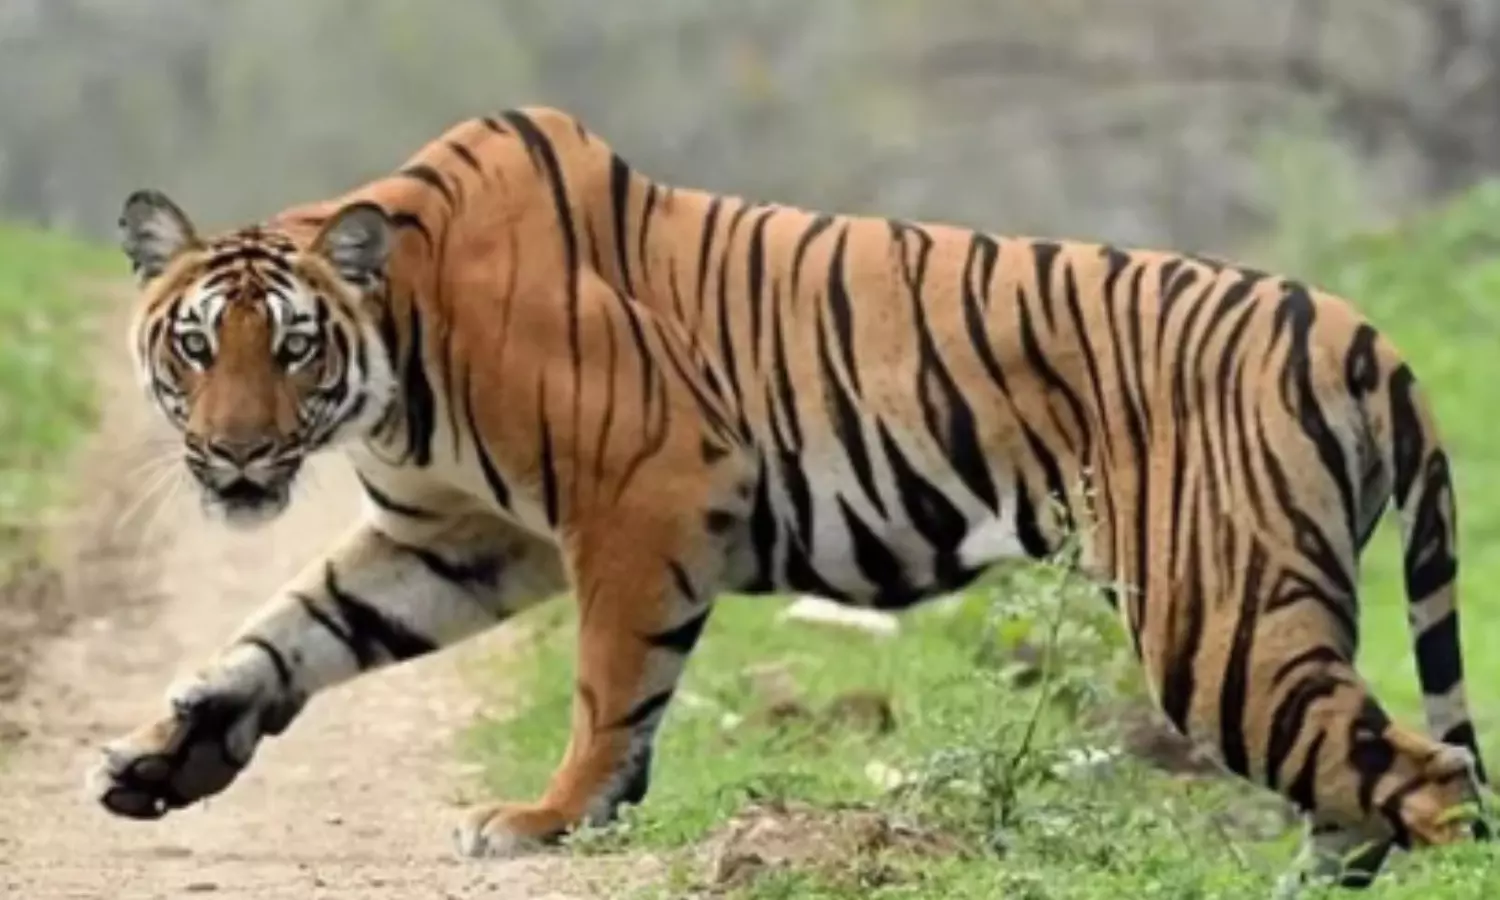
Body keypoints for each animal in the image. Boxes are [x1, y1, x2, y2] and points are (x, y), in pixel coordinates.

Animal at [88, 105, 1488, 894]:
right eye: (198, 349)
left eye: (293, 350)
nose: (237, 457)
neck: (394, 354)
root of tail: (1368, 334)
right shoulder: (456, 537)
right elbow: (290, 633)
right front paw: (164, 758)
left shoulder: (644, 489)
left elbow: (609, 683)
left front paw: (548, 818)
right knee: (1365, 791)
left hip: (1220, 616)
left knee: (1426, 780)